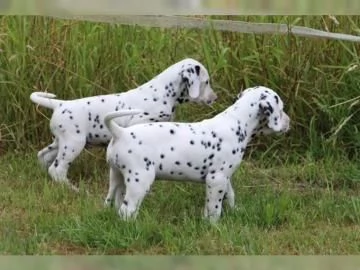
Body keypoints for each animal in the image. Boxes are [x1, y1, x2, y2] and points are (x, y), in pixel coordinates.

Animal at [29, 58, 217, 190]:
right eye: (206, 82)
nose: (215, 98)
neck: (162, 93)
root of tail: (60, 104)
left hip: (60, 143)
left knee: (43, 156)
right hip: (73, 144)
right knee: (57, 169)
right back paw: (73, 189)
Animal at [103, 85, 290, 223]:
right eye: (281, 109)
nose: (289, 122)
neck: (236, 122)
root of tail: (120, 132)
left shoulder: (225, 177)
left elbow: (230, 196)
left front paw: (235, 211)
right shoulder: (216, 179)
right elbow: (214, 207)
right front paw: (213, 225)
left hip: (116, 176)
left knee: (111, 201)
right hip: (140, 180)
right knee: (127, 210)